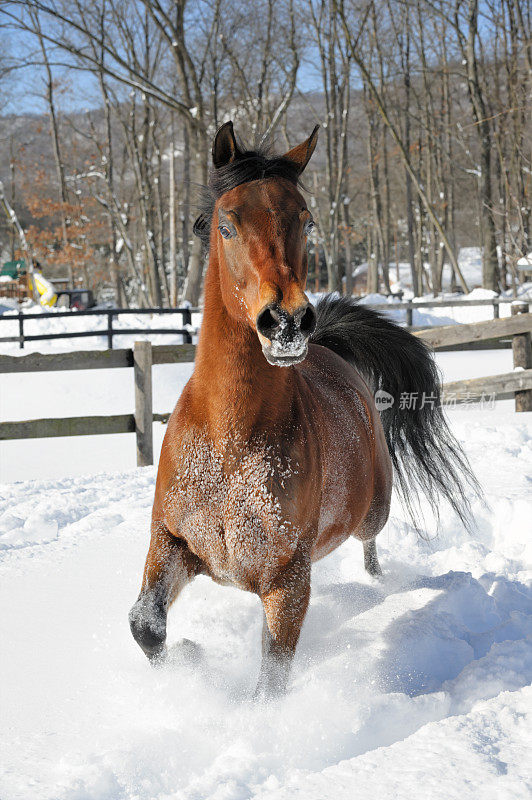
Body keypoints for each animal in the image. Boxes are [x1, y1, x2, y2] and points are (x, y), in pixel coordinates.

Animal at [130, 122, 478, 696]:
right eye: (226, 225)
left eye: (307, 220)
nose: (288, 321)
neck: (231, 444)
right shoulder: (172, 541)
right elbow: (145, 626)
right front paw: (190, 660)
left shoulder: (287, 580)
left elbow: (271, 682)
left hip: (373, 510)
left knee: (370, 544)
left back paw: (377, 583)